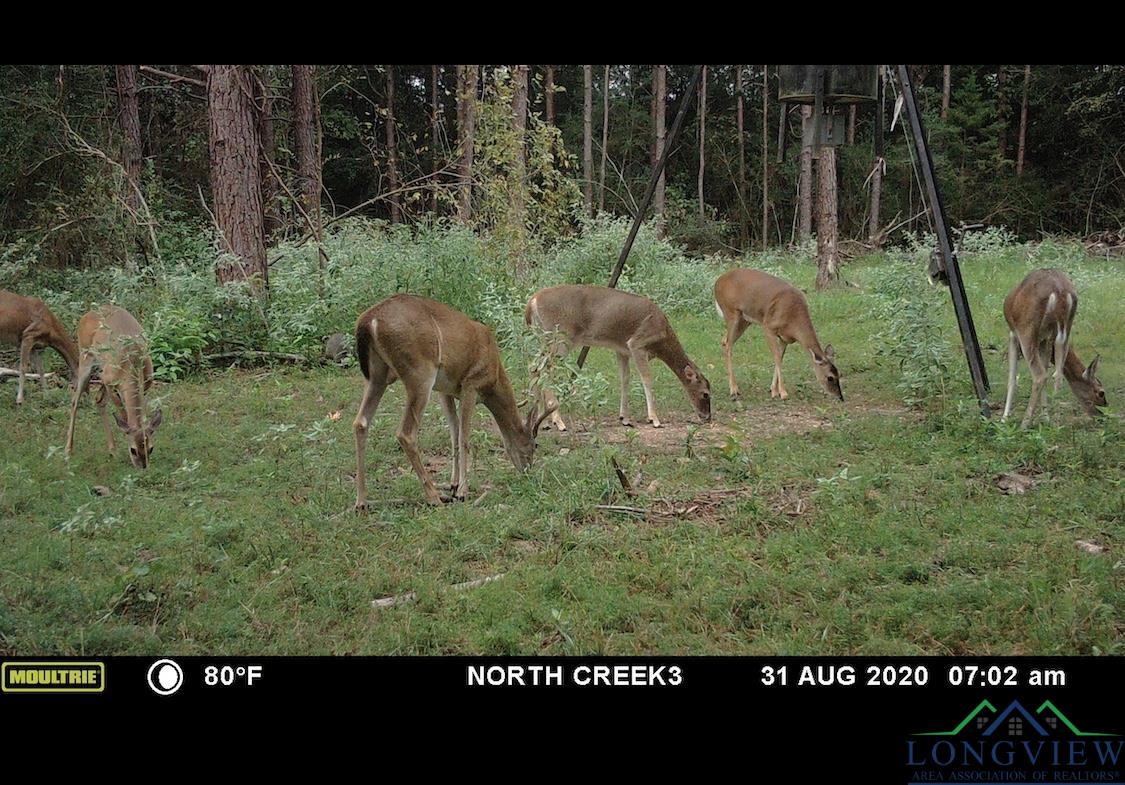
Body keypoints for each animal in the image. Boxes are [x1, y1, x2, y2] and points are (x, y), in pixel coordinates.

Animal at [64, 303, 163, 465]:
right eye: (133, 450)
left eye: (151, 448)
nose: (143, 466)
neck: (132, 361)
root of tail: (86, 314)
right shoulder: (111, 384)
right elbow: (123, 415)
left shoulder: (146, 385)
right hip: (85, 359)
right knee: (75, 400)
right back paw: (68, 450)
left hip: (102, 373)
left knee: (98, 399)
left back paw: (112, 449)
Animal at [351, 292, 553, 508]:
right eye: (533, 445)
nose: (527, 470)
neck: (494, 375)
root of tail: (369, 321)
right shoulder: (471, 384)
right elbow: (464, 436)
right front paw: (463, 490)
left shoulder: (444, 391)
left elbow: (454, 433)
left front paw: (454, 484)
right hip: (420, 373)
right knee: (405, 433)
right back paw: (434, 497)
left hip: (377, 374)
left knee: (361, 422)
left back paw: (361, 501)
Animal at [519, 282, 711, 431]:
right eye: (705, 394)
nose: (707, 417)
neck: (661, 338)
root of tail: (532, 302)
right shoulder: (637, 344)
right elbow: (647, 379)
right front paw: (654, 419)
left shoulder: (622, 350)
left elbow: (625, 379)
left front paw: (624, 418)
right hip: (561, 337)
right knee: (546, 370)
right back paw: (558, 421)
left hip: (544, 338)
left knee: (534, 366)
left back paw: (542, 420)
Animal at [715, 268, 841, 402]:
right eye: (830, 377)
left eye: (839, 374)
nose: (839, 396)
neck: (793, 320)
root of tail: (718, 281)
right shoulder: (768, 327)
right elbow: (776, 356)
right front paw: (783, 393)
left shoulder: (785, 338)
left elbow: (780, 357)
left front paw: (773, 390)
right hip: (731, 313)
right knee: (728, 345)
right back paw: (734, 389)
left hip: (744, 320)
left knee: (724, 341)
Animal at [1003, 268, 1107, 427]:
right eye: (1101, 392)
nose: (1102, 414)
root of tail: (1060, 292)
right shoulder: (1045, 340)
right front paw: (1045, 417)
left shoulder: (1013, 334)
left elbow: (1012, 379)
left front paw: (1004, 418)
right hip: (1065, 329)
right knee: (1056, 375)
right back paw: (1056, 422)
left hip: (1026, 329)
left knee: (1040, 375)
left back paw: (1025, 423)